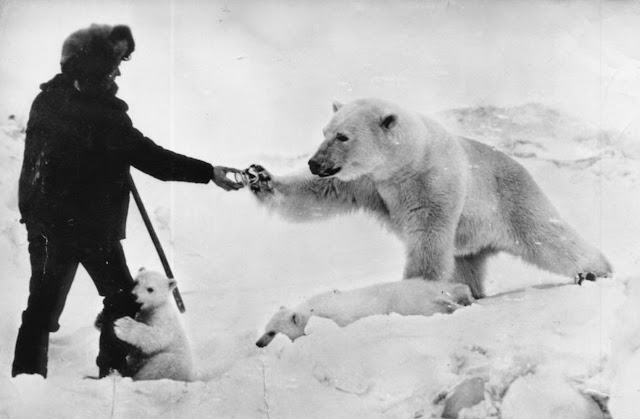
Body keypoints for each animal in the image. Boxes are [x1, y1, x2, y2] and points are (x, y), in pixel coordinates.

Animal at [249, 98, 608, 298]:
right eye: (325, 132)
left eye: (343, 136)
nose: (314, 162)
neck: (405, 163)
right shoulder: (368, 182)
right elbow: (320, 193)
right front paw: (260, 177)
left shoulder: (432, 182)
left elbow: (428, 235)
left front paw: (413, 289)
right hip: (470, 240)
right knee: (466, 264)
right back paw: (473, 292)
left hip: (512, 200)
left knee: (548, 238)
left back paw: (595, 272)